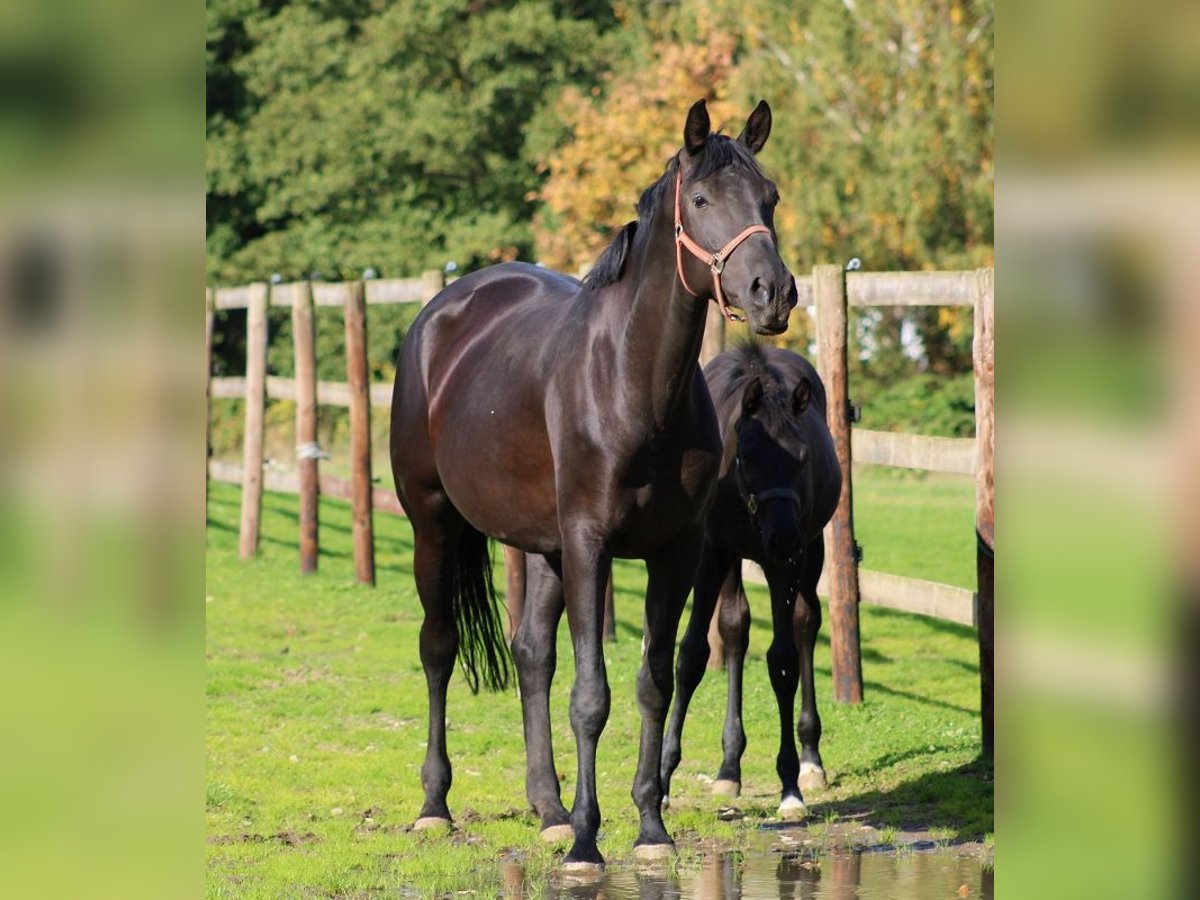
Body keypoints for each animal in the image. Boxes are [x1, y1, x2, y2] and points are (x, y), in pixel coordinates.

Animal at [393, 102, 796, 868]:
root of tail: (440, 314)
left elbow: (653, 682)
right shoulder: (590, 544)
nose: (774, 293)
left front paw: (648, 826)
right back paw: (434, 805)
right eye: (701, 201)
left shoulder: (674, 552)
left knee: (530, 656)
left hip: (545, 548)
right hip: (435, 525)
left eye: (771, 197)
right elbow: (591, 696)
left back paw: (547, 808)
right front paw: (587, 841)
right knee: (437, 649)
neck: (631, 385)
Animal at [662, 343, 840, 816]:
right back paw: (729, 767)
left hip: (811, 551)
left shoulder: (787, 564)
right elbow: (692, 655)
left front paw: (790, 785)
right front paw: (662, 779)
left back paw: (811, 760)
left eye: (803, 458)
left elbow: (782, 661)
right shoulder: (712, 555)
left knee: (806, 623)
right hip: (737, 561)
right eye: (747, 457)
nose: (781, 537)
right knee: (735, 628)